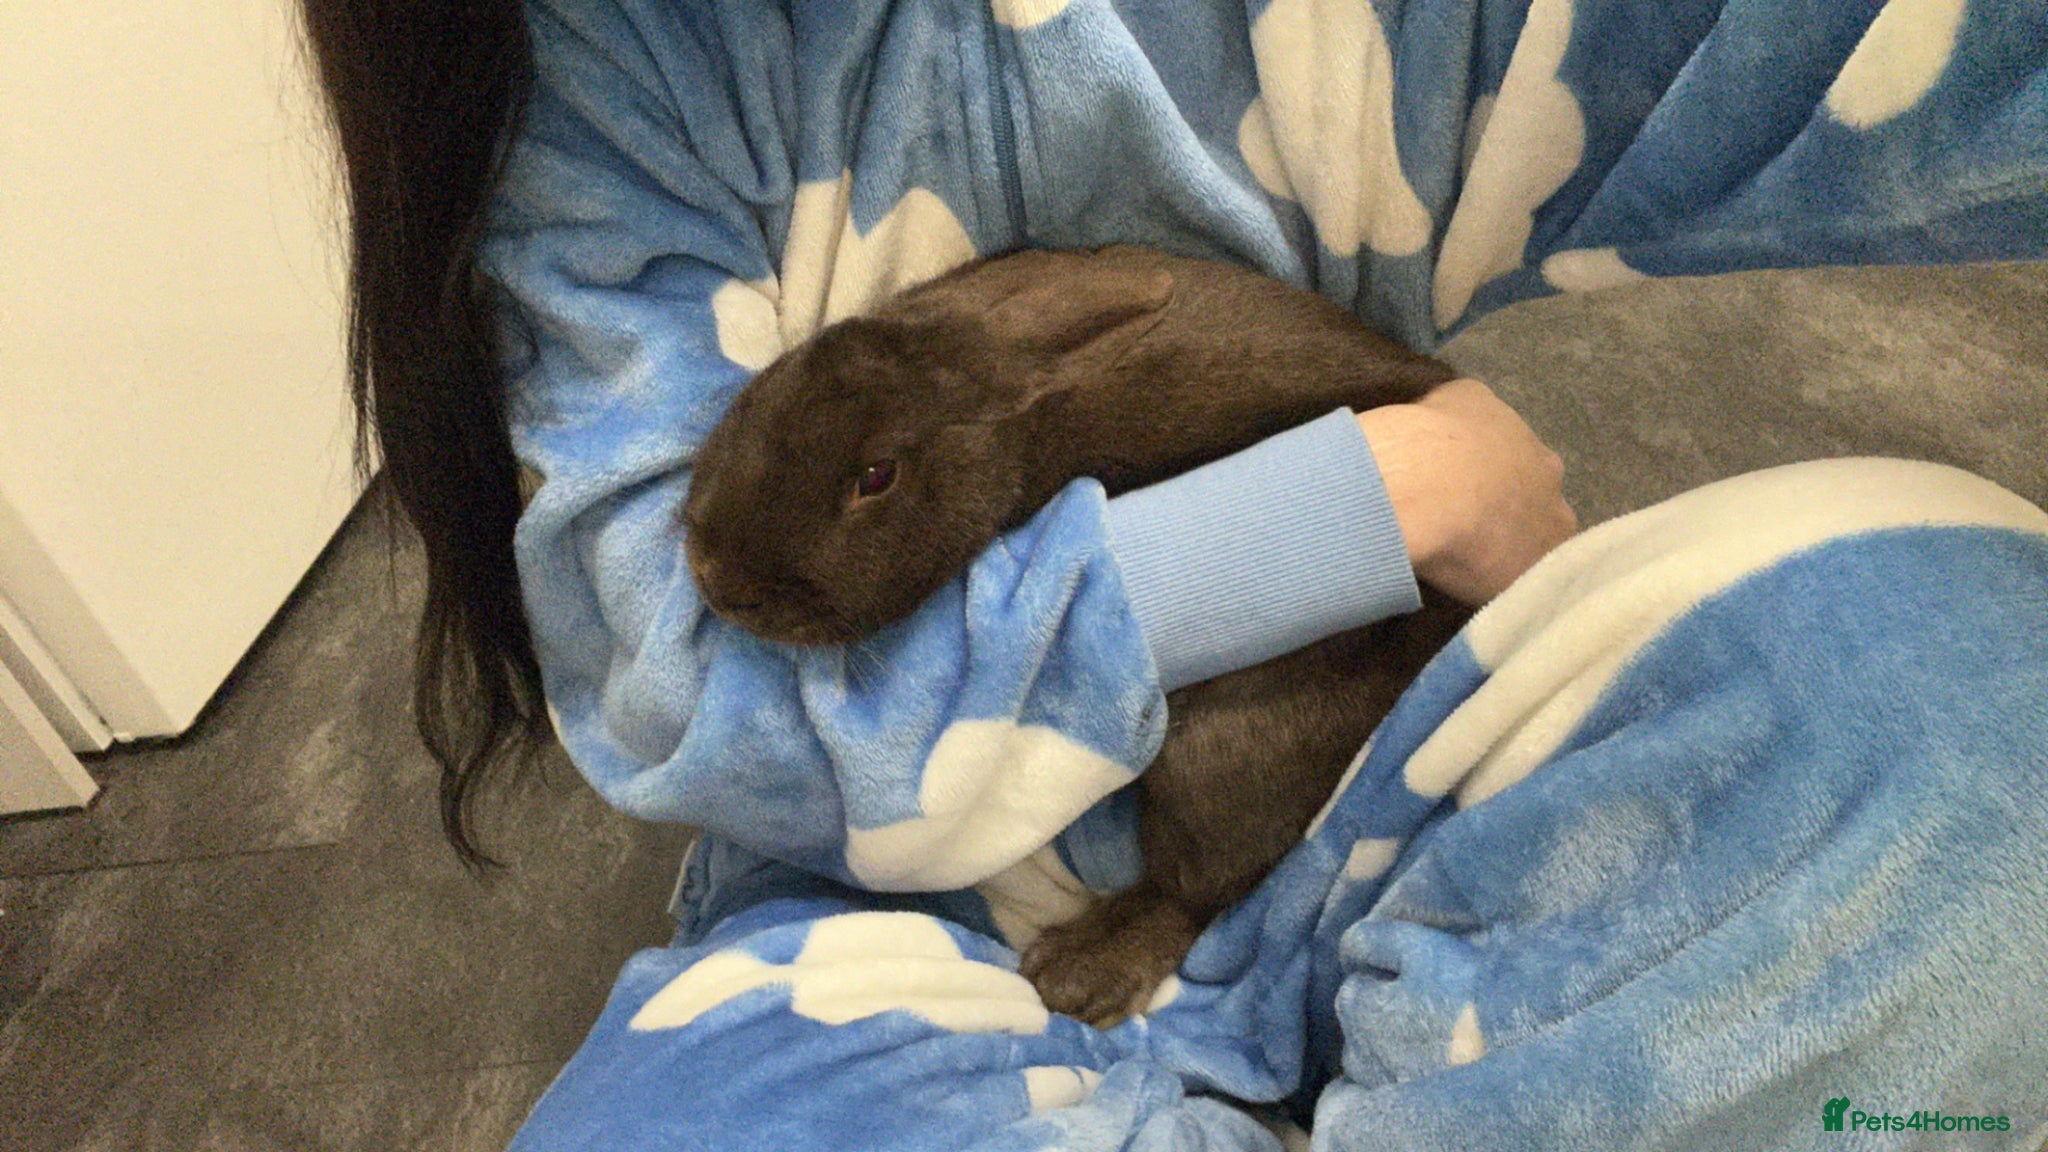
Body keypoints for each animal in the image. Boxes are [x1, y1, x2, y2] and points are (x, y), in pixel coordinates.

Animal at [682, 245, 1471, 1025]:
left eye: (877, 476)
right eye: (766, 394)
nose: (720, 580)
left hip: (1216, 754)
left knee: (1199, 889)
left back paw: (1076, 974)